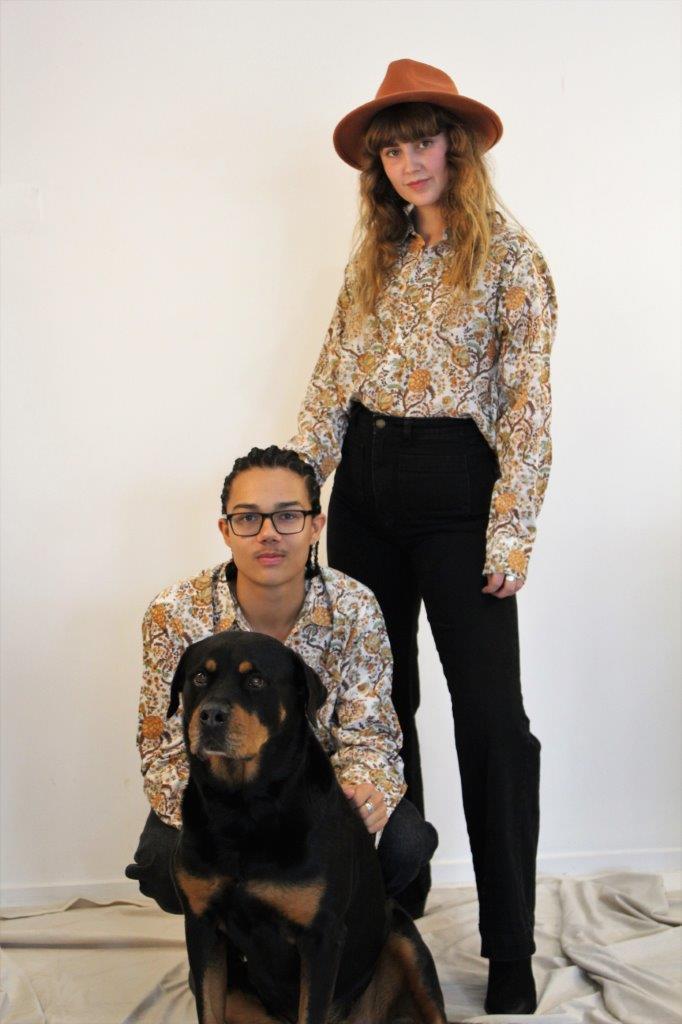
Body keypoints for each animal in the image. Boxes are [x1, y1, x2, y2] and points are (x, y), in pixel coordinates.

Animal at [167, 630, 448, 1024]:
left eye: (256, 681)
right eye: (198, 678)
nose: (210, 715)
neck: (243, 807)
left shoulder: (321, 936)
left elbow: (311, 1009)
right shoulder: (201, 925)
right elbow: (209, 1008)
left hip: (404, 938)